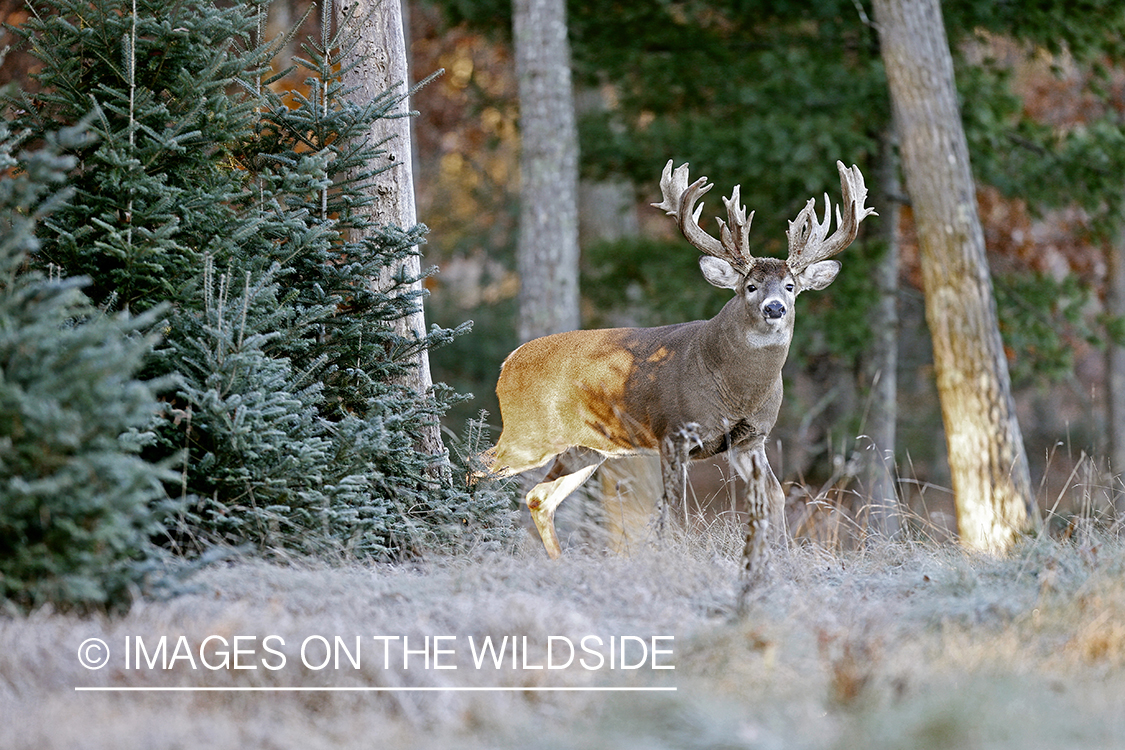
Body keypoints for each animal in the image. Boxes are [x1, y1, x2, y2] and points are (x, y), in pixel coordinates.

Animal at [488, 158, 873, 584]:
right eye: (750, 286)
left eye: (790, 286)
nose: (775, 308)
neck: (733, 387)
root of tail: (507, 363)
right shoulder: (674, 434)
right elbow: (674, 509)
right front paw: (675, 560)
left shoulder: (751, 439)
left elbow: (774, 496)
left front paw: (782, 561)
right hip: (528, 433)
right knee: (480, 465)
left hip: (584, 448)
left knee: (538, 496)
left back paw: (558, 563)